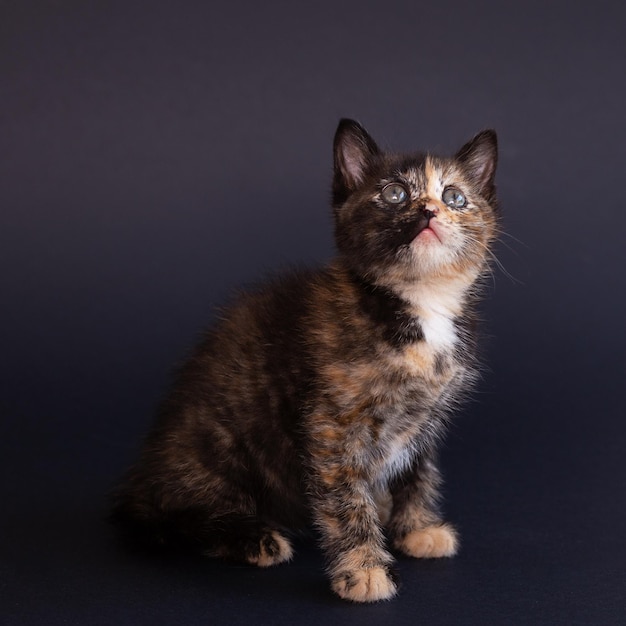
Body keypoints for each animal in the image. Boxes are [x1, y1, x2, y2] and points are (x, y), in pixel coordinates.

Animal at [109, 119, 494, 604]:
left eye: (455, 197)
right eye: (394, 194)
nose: (429, 211)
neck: (418, 303)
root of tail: (144, 478)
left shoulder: (425, 415)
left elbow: (416, 471)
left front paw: (415, 528)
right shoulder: (333, 426)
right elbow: (345, 500)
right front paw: (364, 569)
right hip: (216, 447)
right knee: (175, 516)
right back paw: (252, 538)